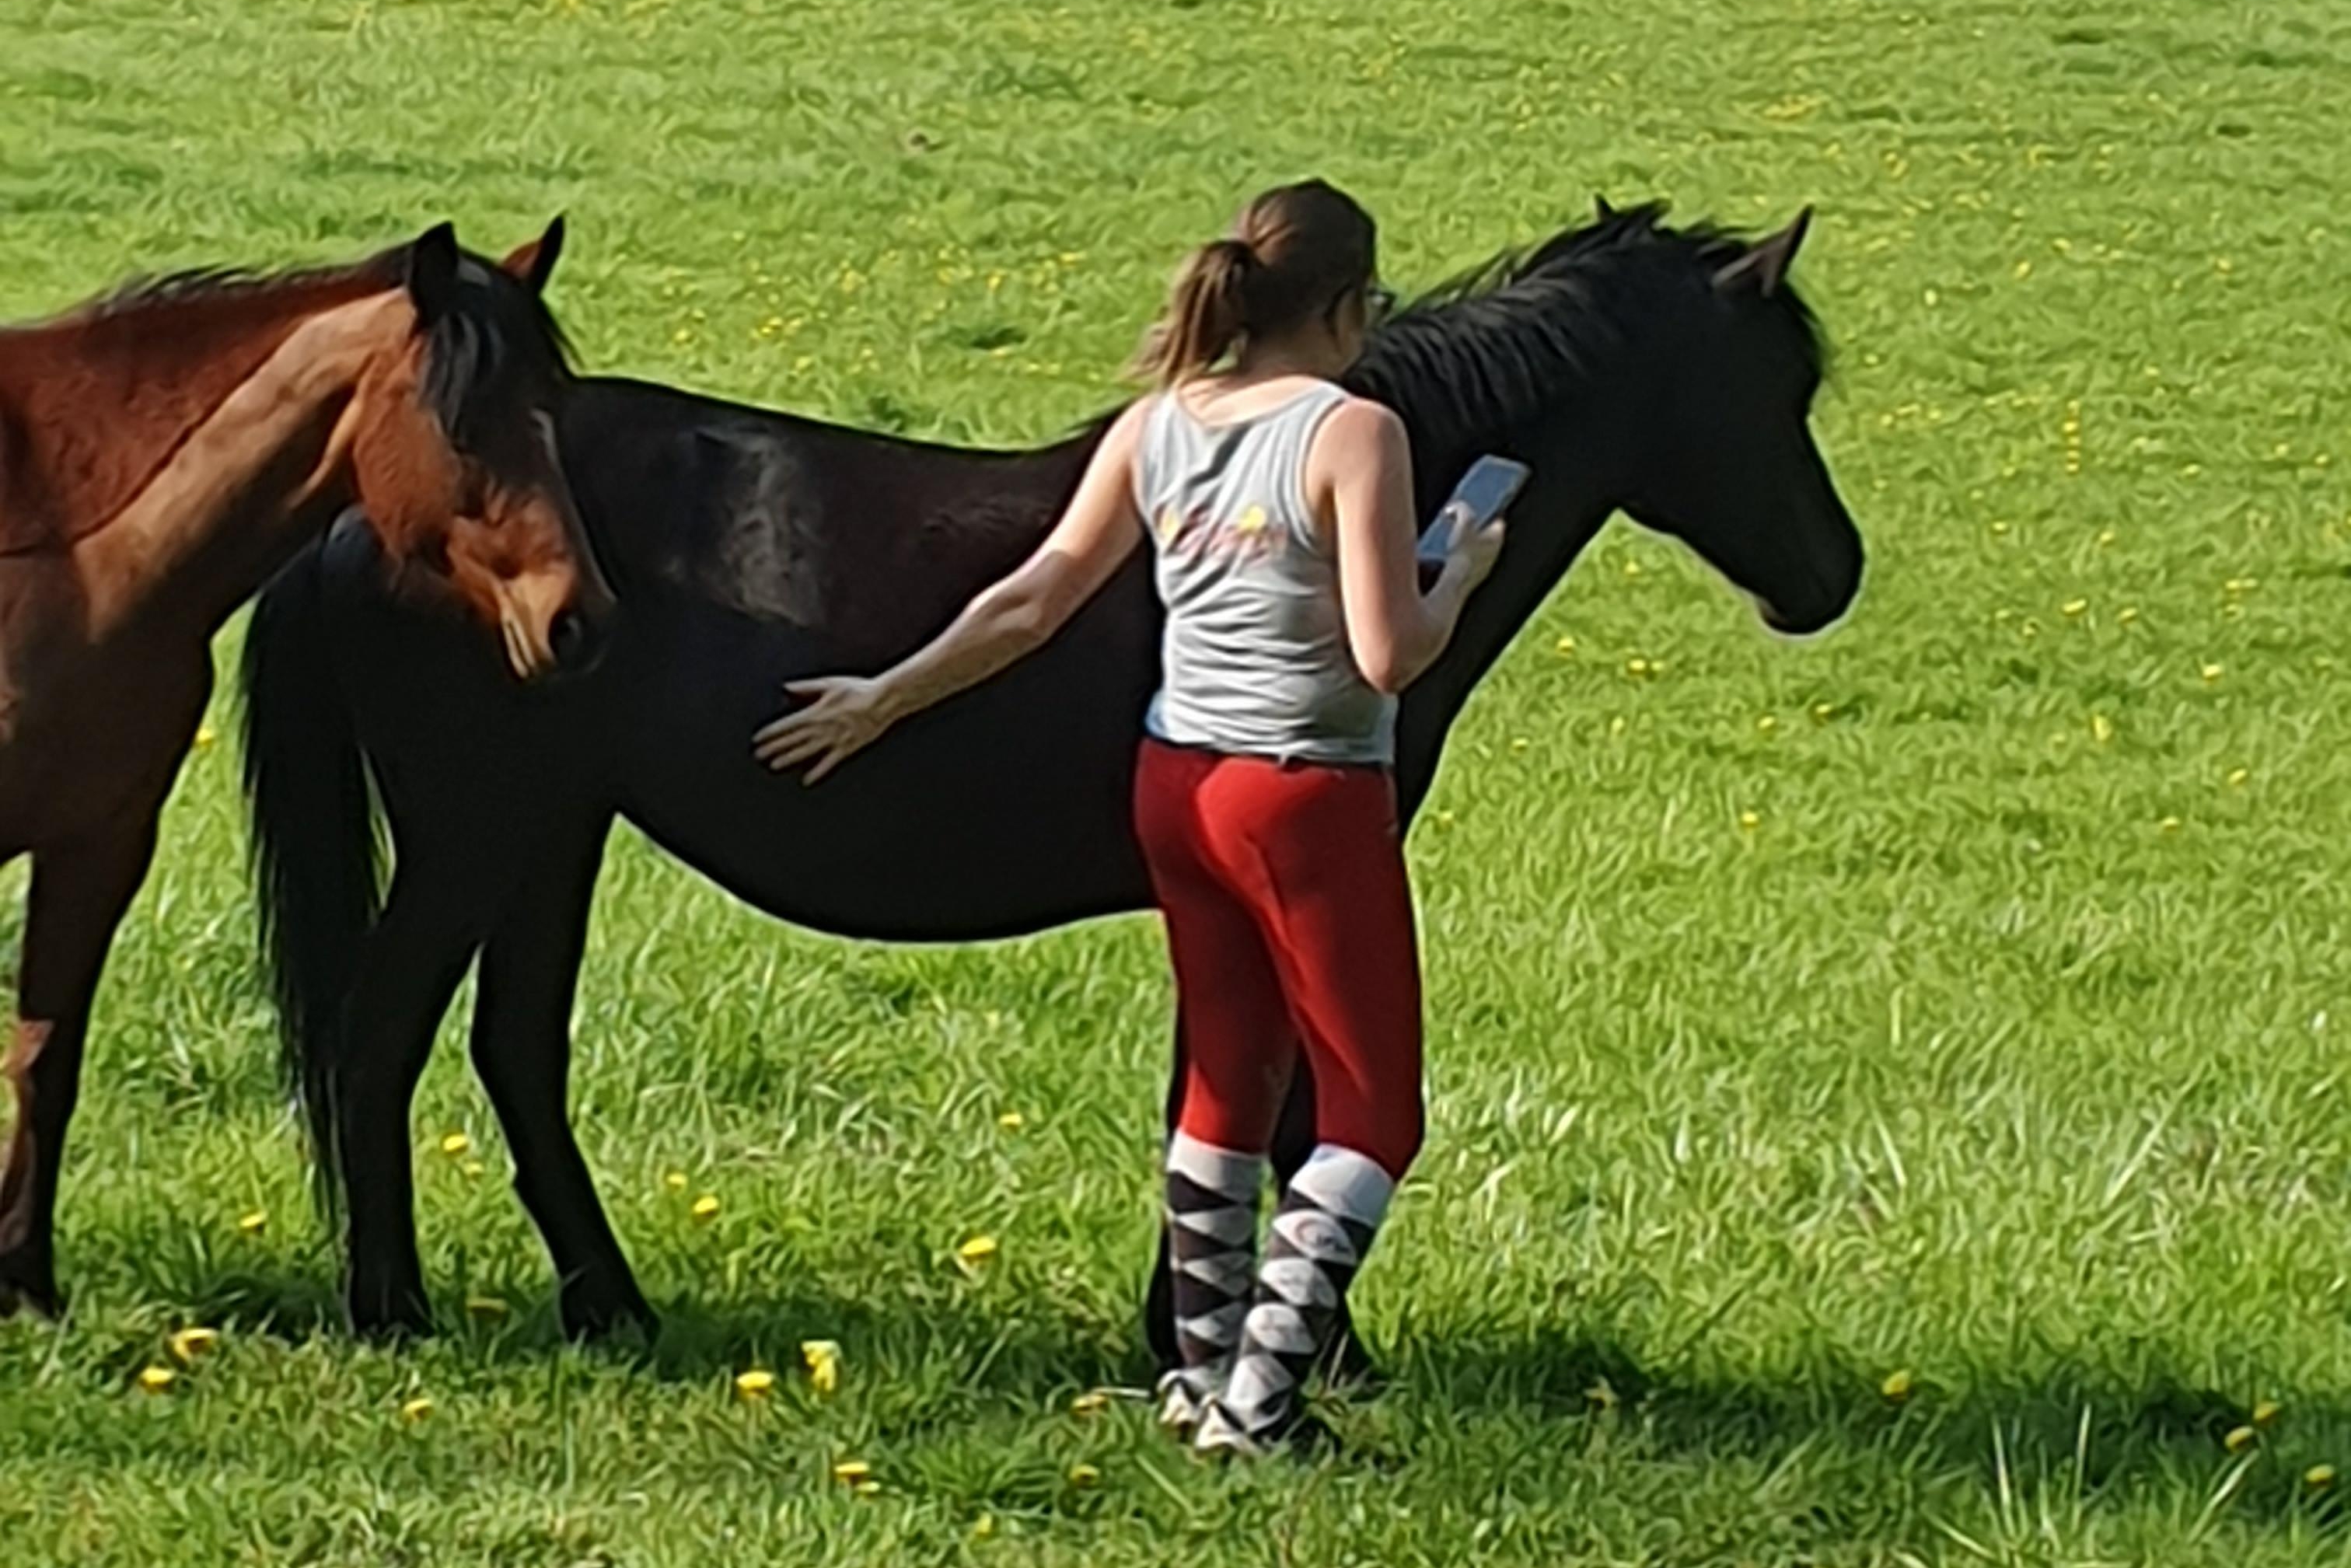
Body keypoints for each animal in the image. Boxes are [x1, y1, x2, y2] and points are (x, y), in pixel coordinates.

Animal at [0, 221, 616, 1316]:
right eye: (464, 427)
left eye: (552, 418)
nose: (574, 621)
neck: (63, 551)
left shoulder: (99, 844)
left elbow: (45, 1055)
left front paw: (23, 1279)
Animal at [238, 200, 1852, 1373]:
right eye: (1776, 383)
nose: (1832, 576)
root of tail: (359, 515)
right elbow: (1280, 1110)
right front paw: (1296, 1353)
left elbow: (1223, 1096)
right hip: (476, 836)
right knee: (379, 1041)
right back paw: (393, 1310)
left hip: (550, 836)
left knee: (515, 1052)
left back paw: (612, 1308)